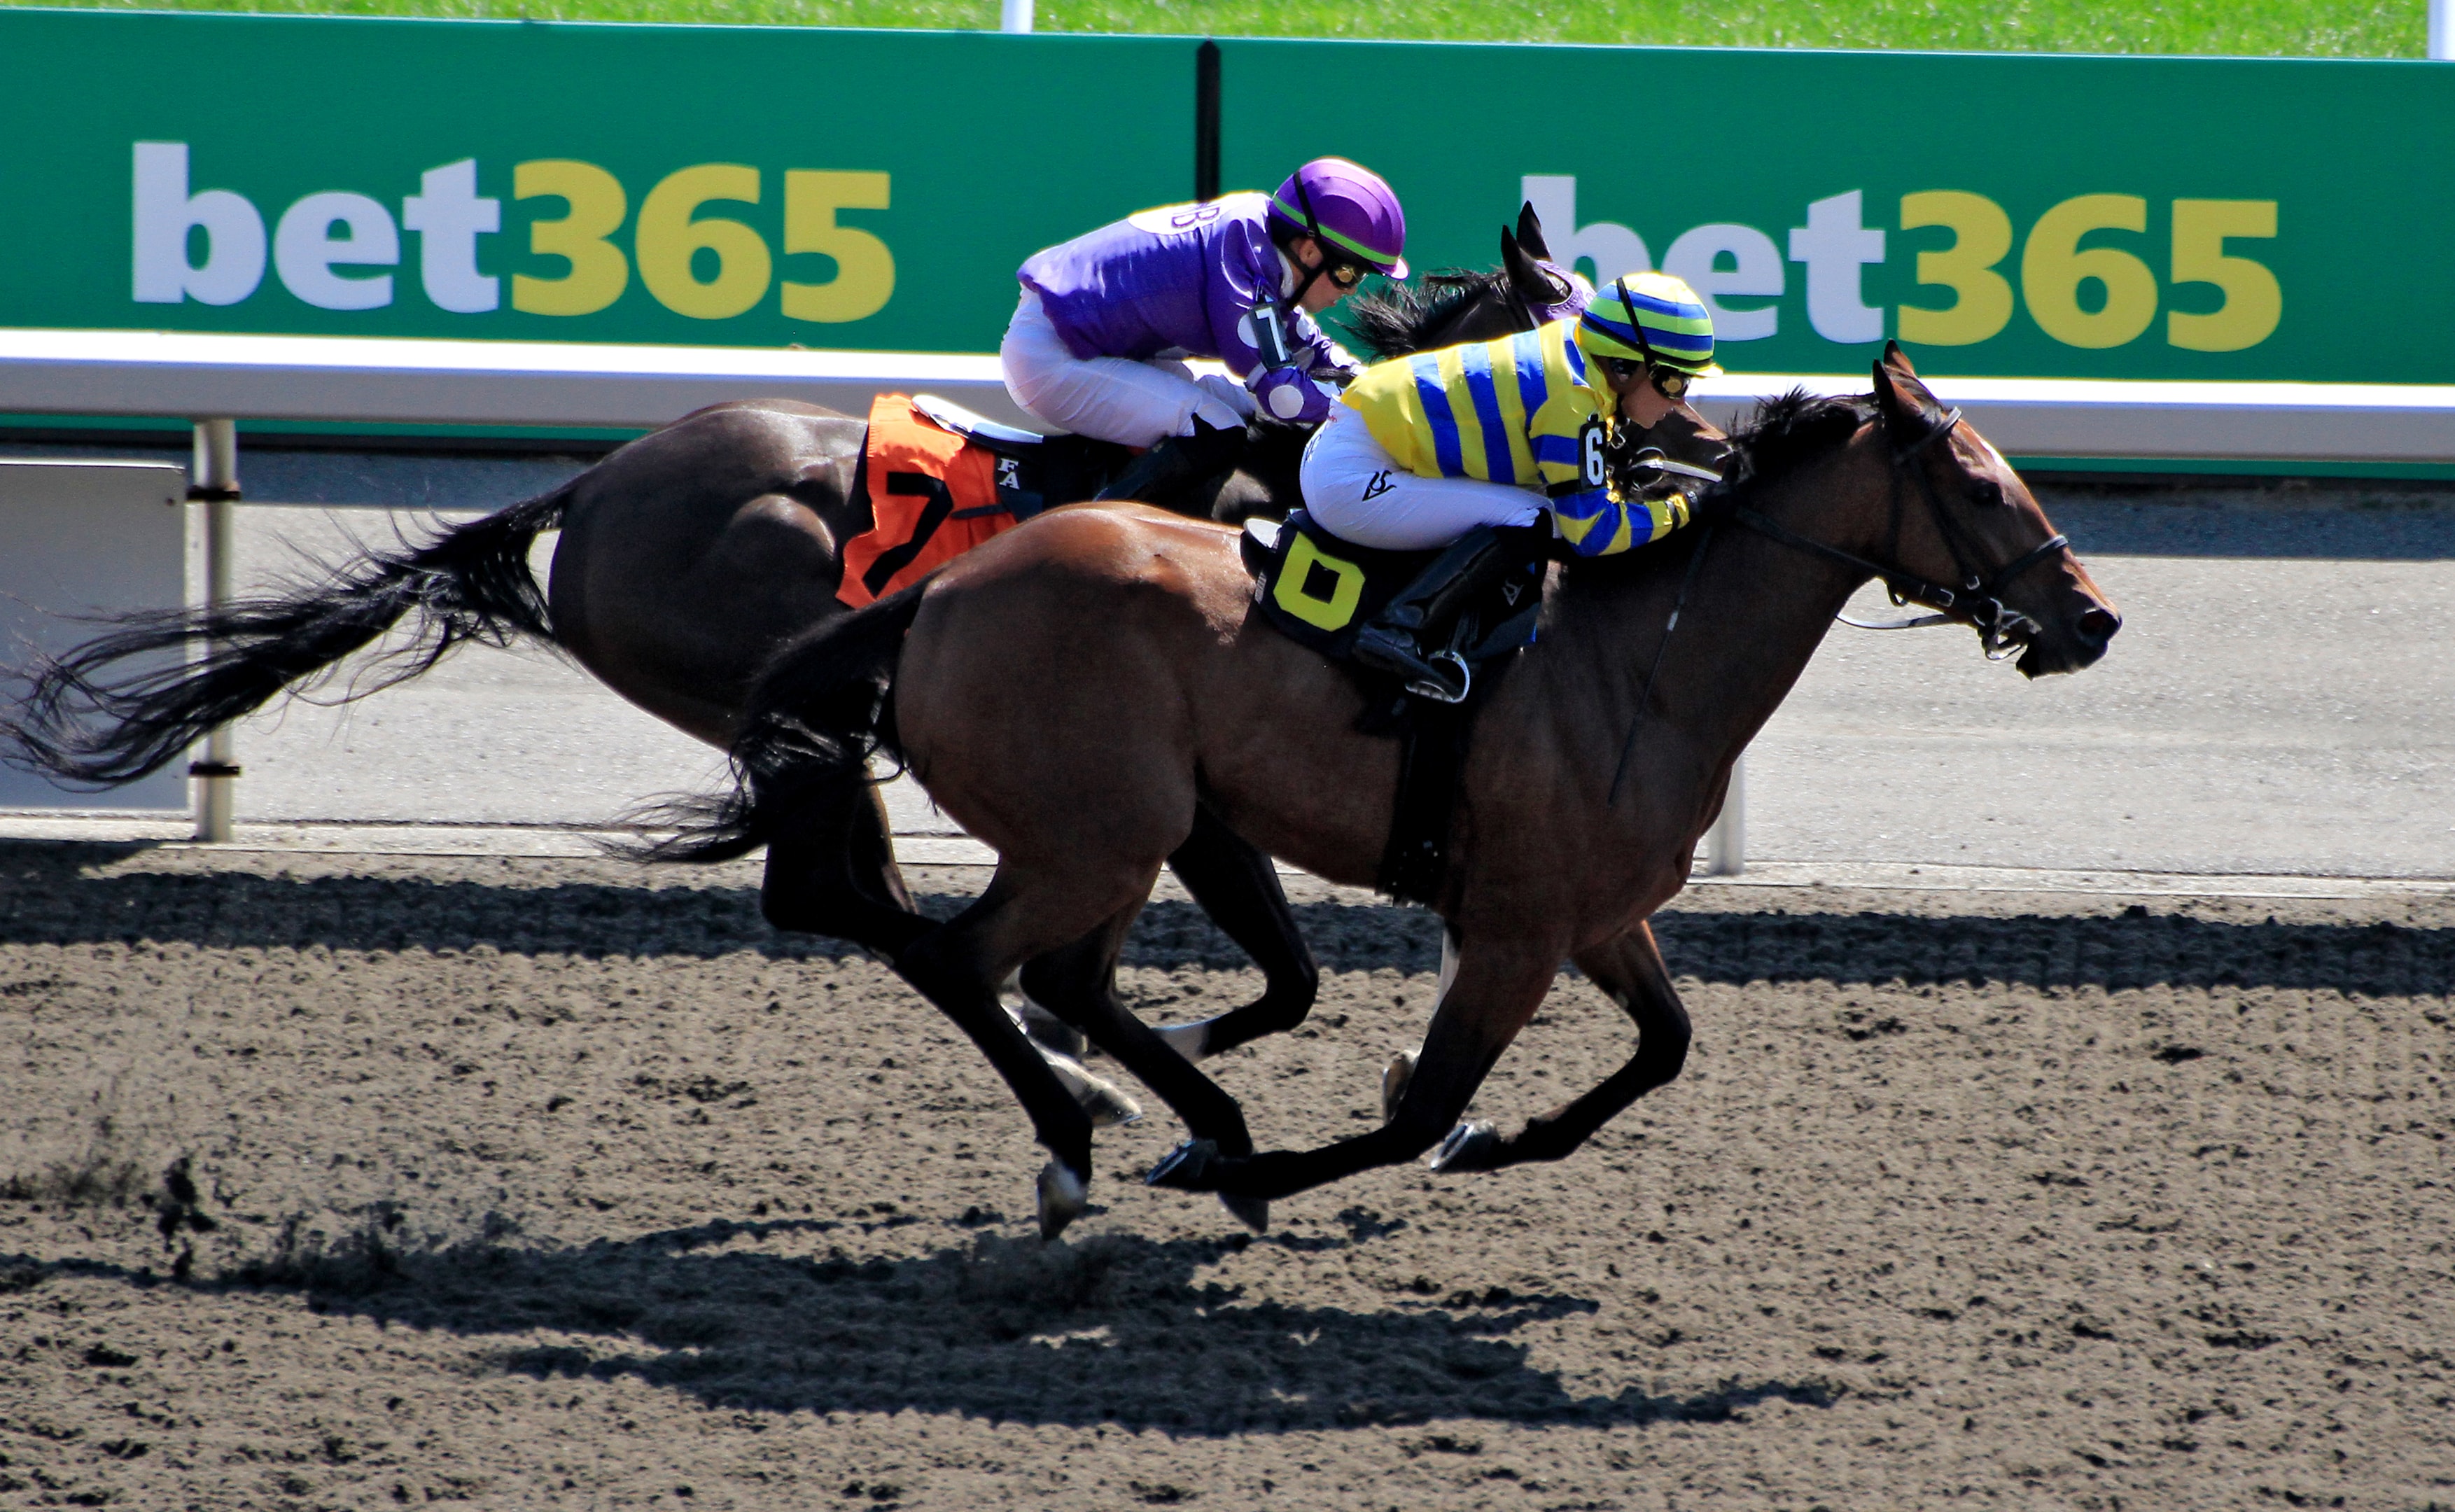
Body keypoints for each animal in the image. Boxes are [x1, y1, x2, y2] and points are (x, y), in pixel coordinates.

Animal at [662, 348, 2121, 1232]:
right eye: (1981, 483)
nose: (2093, 620)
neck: (1641, 665)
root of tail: (940, 593)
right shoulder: (1517, 929)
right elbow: (1420, 1102)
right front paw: (1298, 1162)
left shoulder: (1594, 917)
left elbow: (1661, 1049)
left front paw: (1482, 1140)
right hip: (1099, 837)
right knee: (963, 963)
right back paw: (1090, 1145)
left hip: (1128, 832)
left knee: (1053, 977)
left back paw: (1175, 1114)